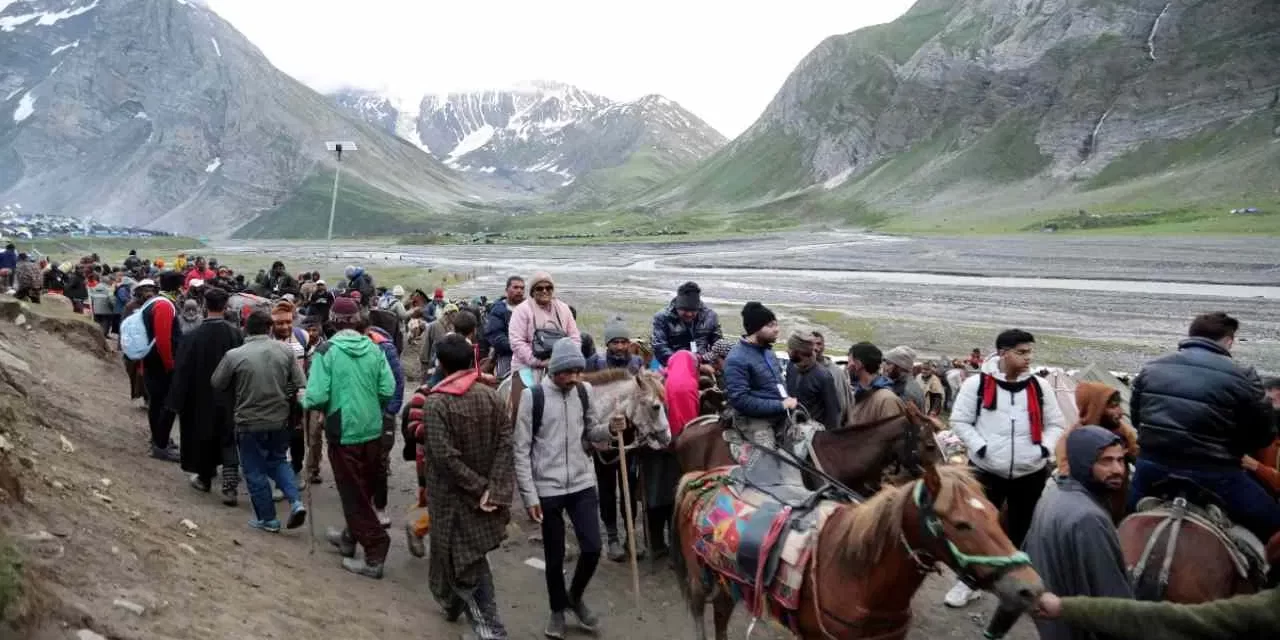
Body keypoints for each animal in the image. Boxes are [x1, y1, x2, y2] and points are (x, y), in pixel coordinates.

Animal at [670, 460, 1039, 640]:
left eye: (995, 514)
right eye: (962, 524)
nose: (1030, 588)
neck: (856, 576)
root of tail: (703, 477)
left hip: (725, 582)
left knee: (720, 613)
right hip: (699, 578)